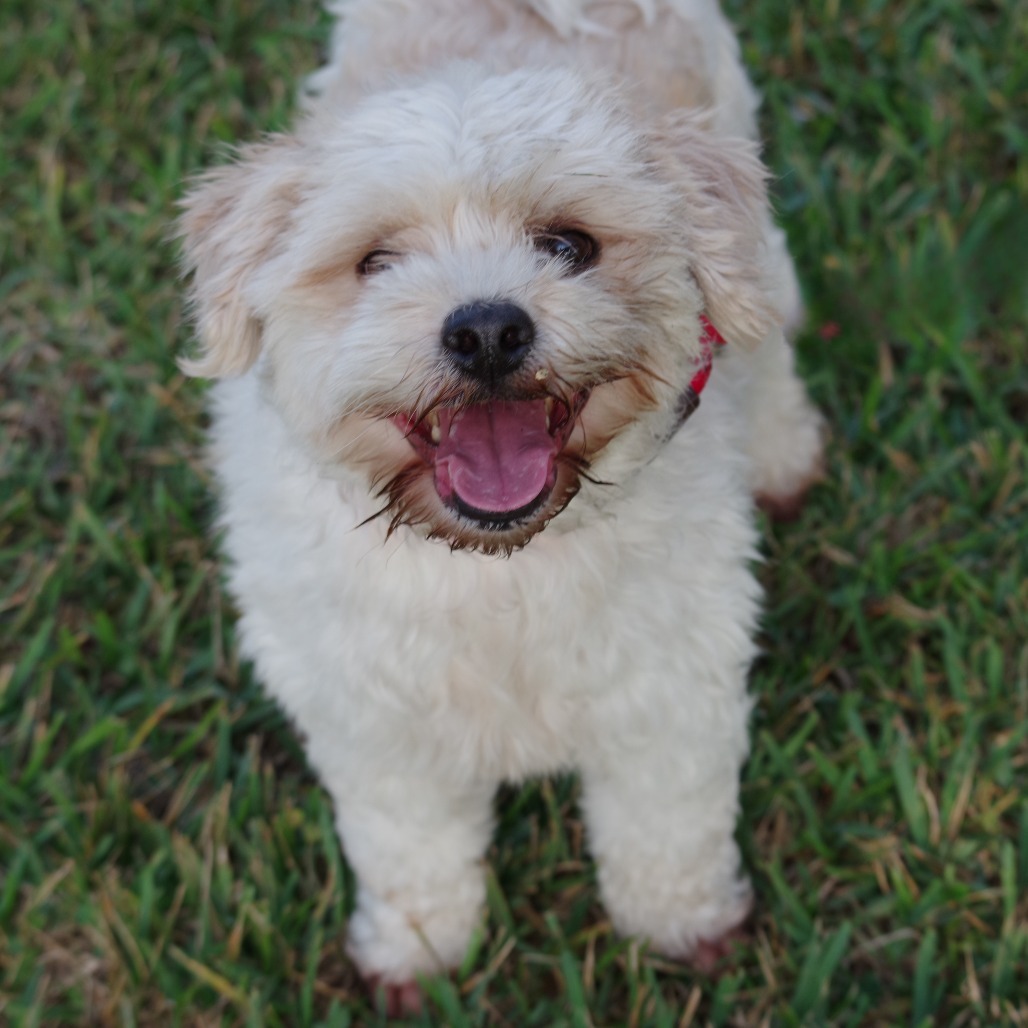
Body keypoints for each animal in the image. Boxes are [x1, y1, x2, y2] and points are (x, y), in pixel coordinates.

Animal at [174, 0, 818, 1011]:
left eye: (570, 245)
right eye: (375, 262)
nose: (484, 329)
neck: (497, 568)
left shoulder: (669, 690)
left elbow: (667, 825)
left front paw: (682, 928)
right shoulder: (373, 720)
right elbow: (410, 849)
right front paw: (418, 953)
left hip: (748, 223)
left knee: (774, 318)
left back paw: (785, 453)